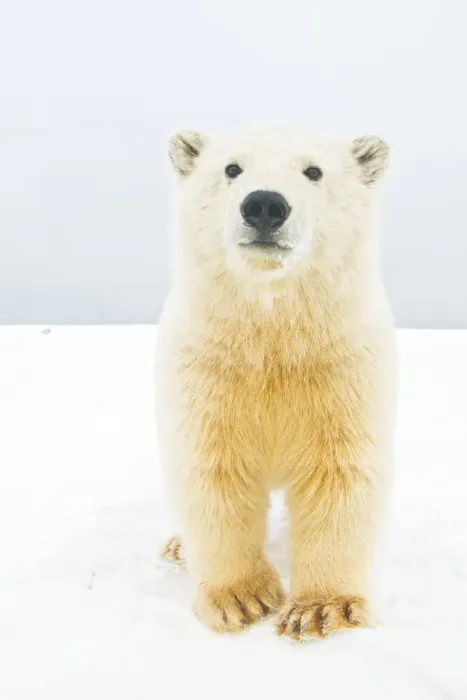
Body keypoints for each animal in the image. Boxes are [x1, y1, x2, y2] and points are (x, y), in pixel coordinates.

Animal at [156, 126, 396, 641]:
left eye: (314, 171)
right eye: (231, 168)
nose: (264, 204)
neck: (273, 340)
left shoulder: (343, 371)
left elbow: (340, 472)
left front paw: (324, 609)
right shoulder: (207, 371)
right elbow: (212, 471)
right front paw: (239, 599)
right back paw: (176, 546)